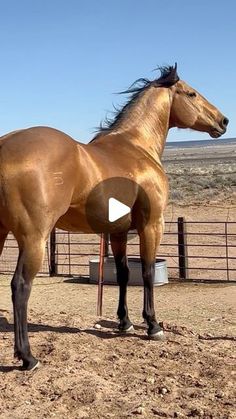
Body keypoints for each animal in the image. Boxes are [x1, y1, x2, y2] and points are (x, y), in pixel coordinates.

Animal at [0, 63, 229, 370]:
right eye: (191, 93)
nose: (223, 121)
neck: (136, 147)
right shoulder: (152, 226)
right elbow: (146, 272)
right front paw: (153, 326)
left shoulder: (118, 231)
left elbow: (123, 274)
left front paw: (125, 322)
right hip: (34, 239)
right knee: (21, 287)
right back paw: (27, 357)